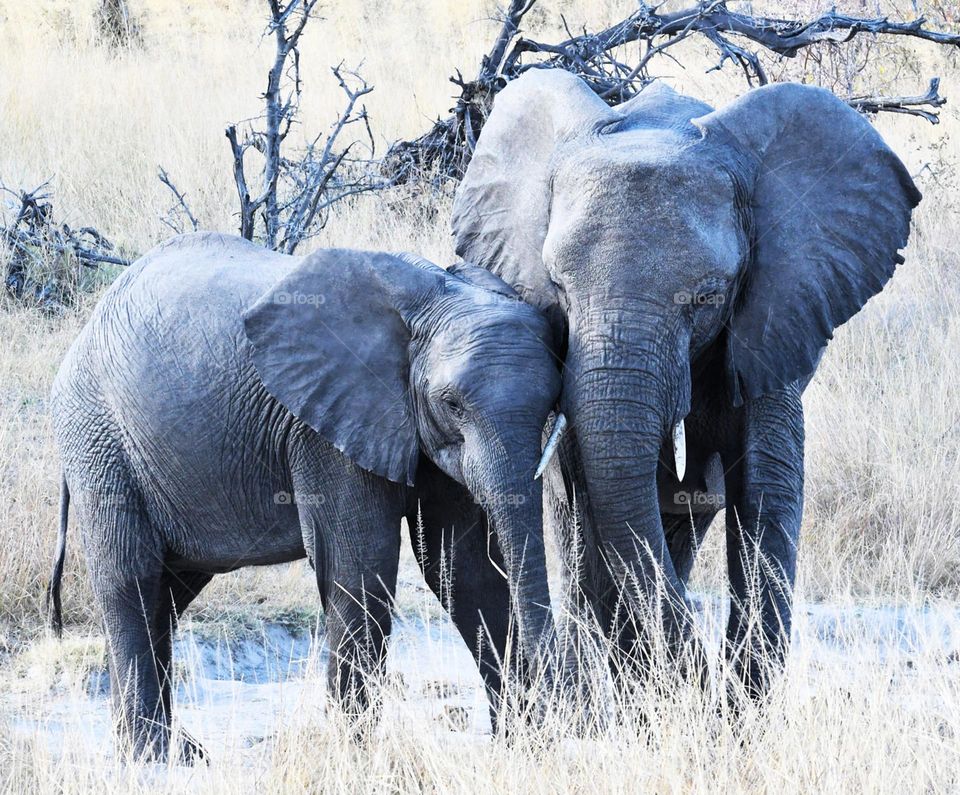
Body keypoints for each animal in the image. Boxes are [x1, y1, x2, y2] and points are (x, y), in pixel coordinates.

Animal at [47, 233, 564, 760]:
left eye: (553, 399)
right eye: (452, 403)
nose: (556, 713)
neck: (433, 296)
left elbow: (463, 567)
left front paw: (525, 746)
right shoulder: (322, 428)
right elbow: (360, 568)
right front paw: (354, 756)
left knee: (166, 595)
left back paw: (181, 754)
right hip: (99, 442)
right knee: (130, 580)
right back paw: (150, 755)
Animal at [454, 71, 920, 700]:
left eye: (707, 296)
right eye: (557, 286)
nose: (706, 681)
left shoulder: (775, 316)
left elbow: (766, 489)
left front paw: (737, 704)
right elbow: (589, 500)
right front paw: (668, 693)